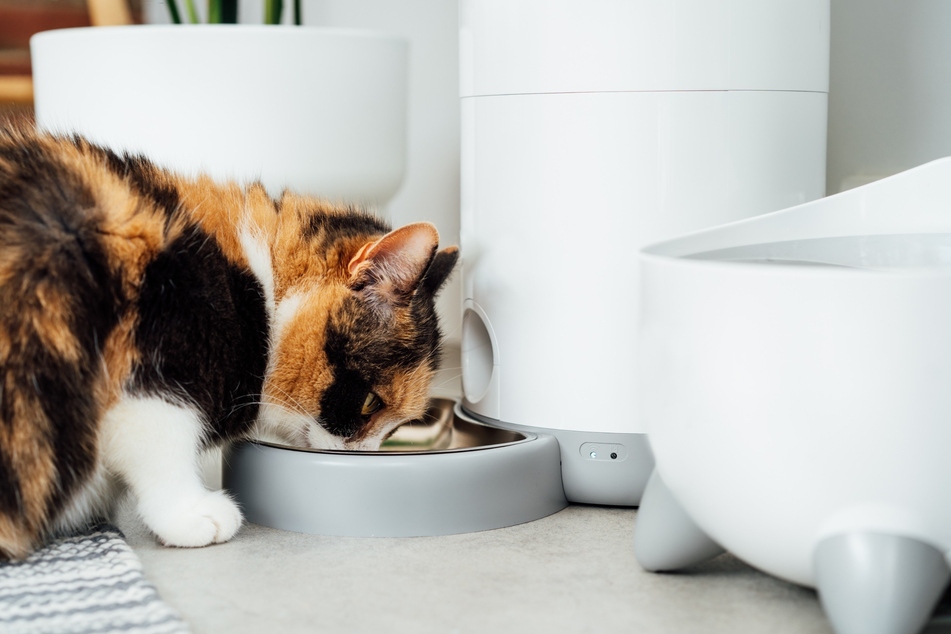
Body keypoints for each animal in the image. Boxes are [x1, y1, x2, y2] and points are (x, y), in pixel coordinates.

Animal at [0, 124, 458, 556]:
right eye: (369, 403)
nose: (364, 459)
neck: (256, 280)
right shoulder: (160, 355)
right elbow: (159, 438)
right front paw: (189, 514)